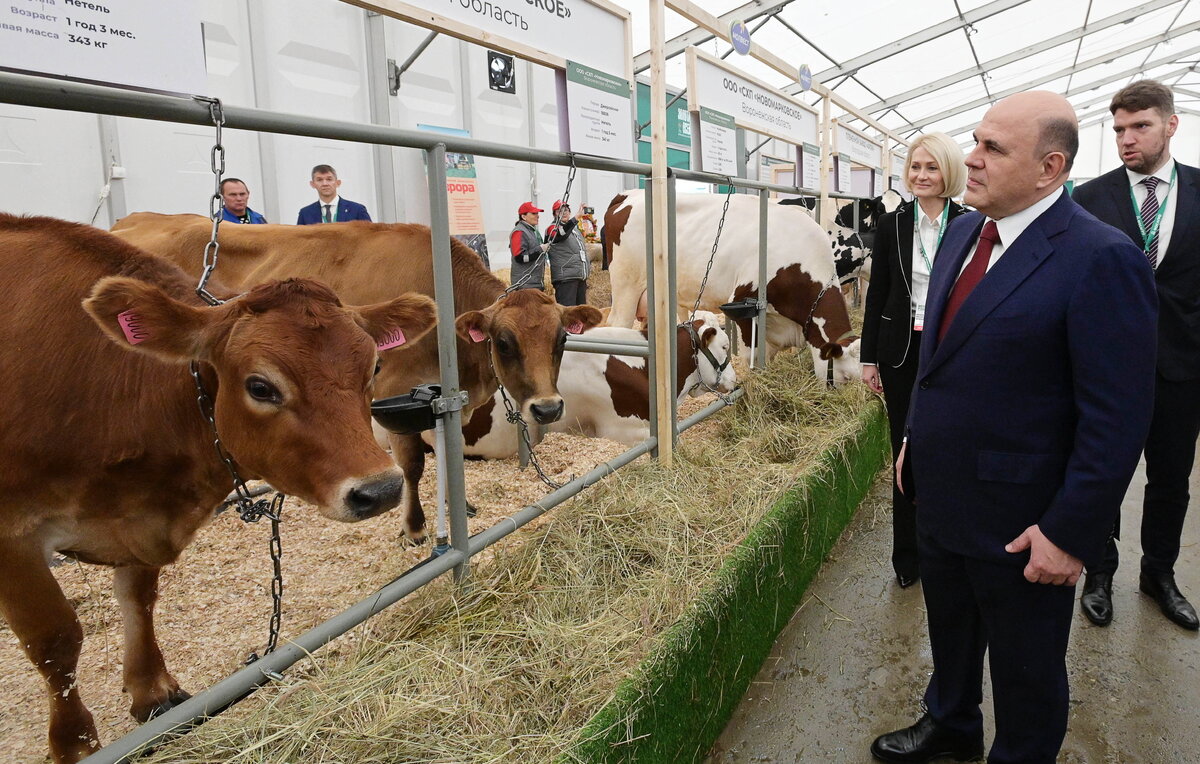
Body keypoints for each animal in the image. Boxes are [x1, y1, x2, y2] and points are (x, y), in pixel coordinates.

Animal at [0, 214, 439, 762]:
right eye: (260, 386)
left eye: (374, 368)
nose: (378, 490)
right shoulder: (13, 536)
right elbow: (55, 640)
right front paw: (76, 744)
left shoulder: (138, 521)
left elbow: (139, 597)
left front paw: (153, 694)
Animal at [111, 211, 600, 539]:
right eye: (503, 342)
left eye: (561, 339)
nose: (548, 408)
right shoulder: (394, 393)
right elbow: (413, 464)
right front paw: (415, 528)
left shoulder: (447, 399)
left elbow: (450, 451)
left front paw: (461, 505)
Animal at [604, 190, 859, 381]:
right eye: (846, 377)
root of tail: (629, 195)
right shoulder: (743, 302)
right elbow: (753, 355)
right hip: (626, 287)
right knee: (617, 326)